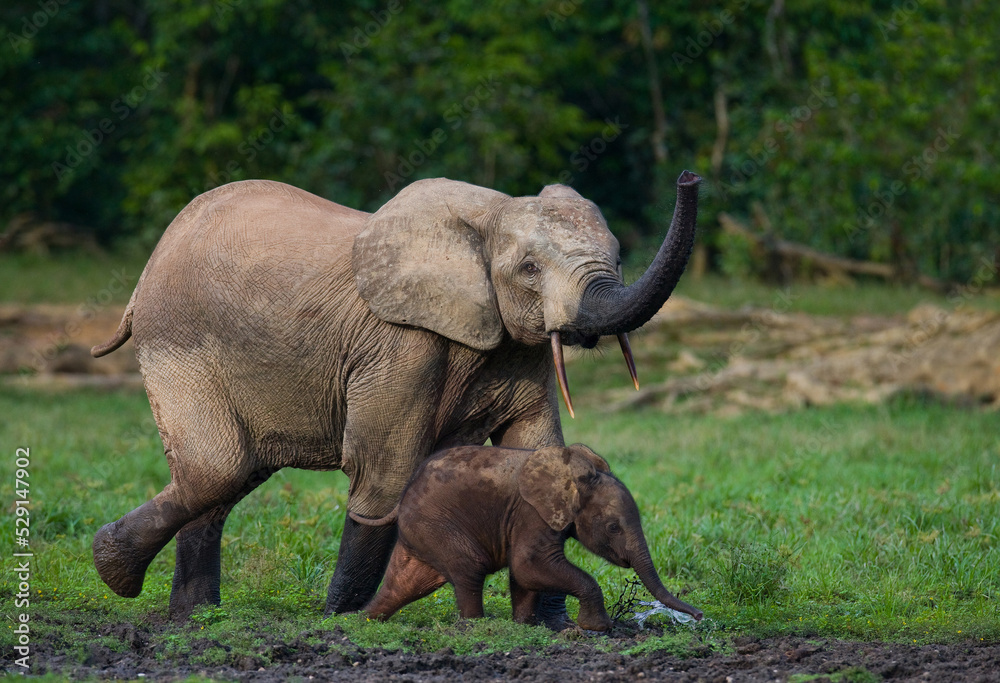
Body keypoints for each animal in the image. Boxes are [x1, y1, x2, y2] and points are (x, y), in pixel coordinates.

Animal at [361, 444, 703, 630]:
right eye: (613, 528)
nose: (699, 615)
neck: (575, 475)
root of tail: (403, 496)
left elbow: (525, 575)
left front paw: (525, 627)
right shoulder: (531, 513)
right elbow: (528, 565)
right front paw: (597, 627)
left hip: (422, 531)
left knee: (404, 584)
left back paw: (363, 620)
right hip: (435, 524)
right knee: (470, 567)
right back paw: (476, 627)